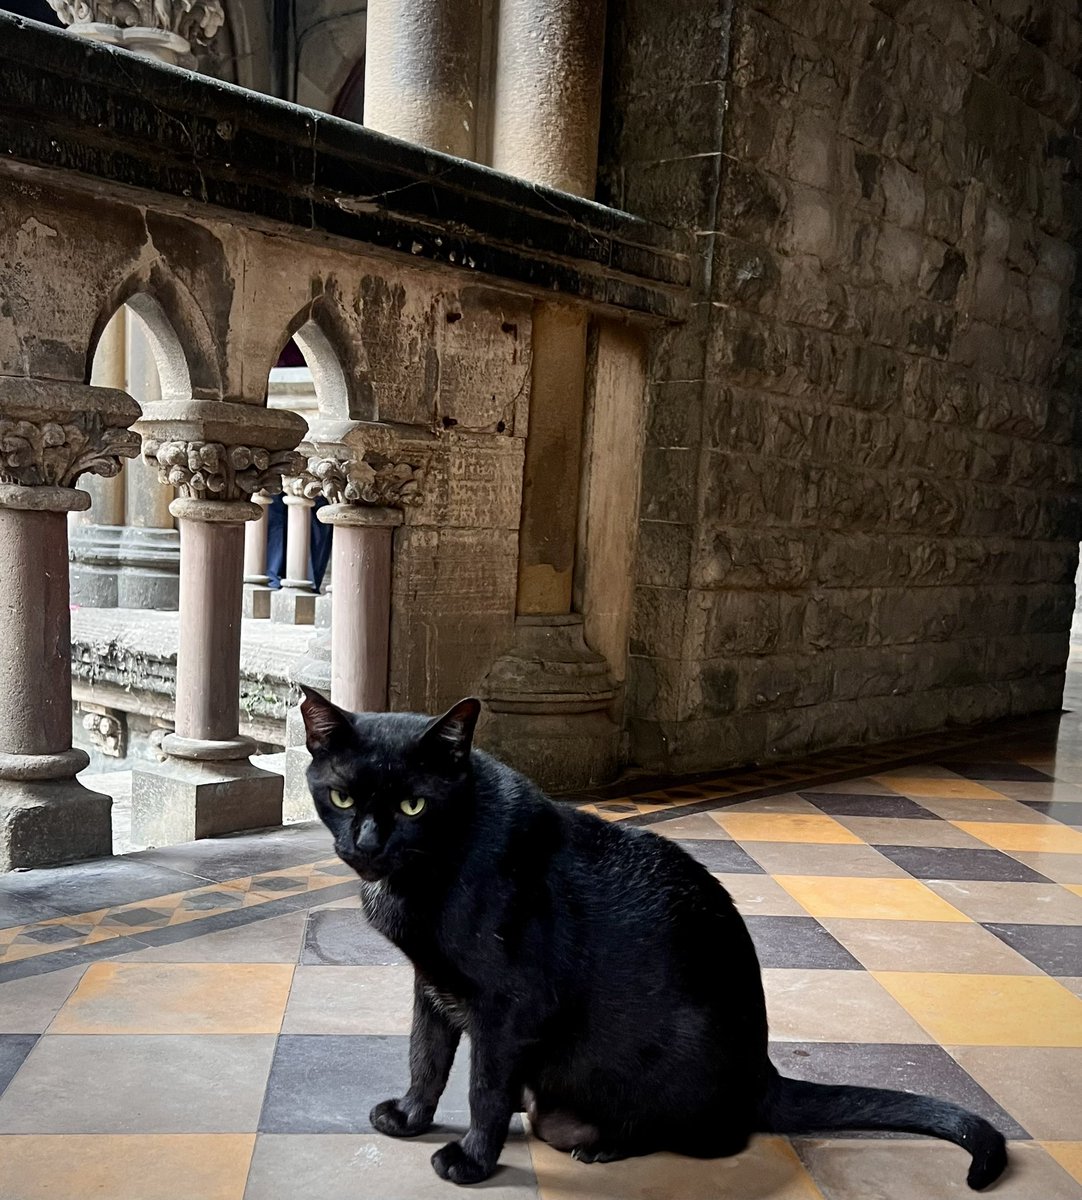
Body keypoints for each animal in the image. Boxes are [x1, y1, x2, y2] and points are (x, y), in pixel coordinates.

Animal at [302, 686, 1007, 1190]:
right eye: (341, 797)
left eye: (414, 806)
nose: (367, 845)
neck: (422, 878)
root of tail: (764, 1073)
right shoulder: (432, 984)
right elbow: (425, 1058)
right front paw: (409, 1118)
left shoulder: (507, 1004)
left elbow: (482, 1087)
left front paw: (472, 1160)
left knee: (714, 1137)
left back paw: (607, 1143)